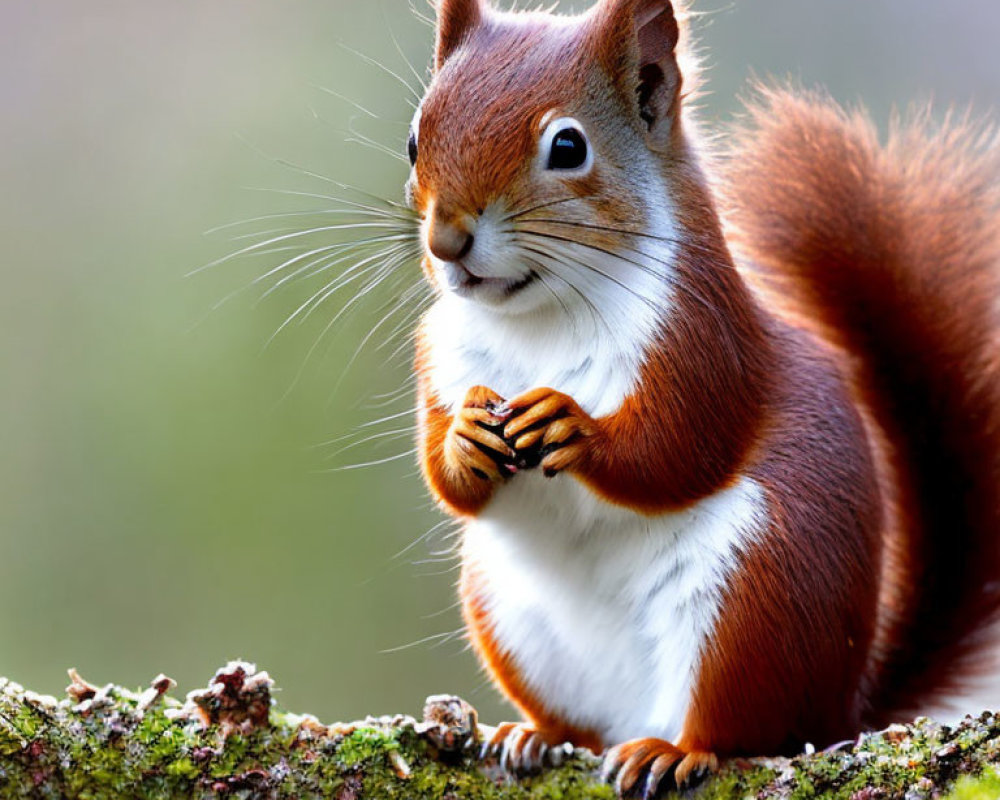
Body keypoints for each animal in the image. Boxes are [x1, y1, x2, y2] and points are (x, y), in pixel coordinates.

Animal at [402, 0, 996, 792]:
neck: (542, 318)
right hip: (508, 609)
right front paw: (466, 436)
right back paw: (535, 735)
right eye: (414, 140)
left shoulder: (708, 344)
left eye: (568, 147)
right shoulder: (439, 355)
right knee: (580, 726)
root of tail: (840, 710)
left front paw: (575, 426)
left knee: (739, 728)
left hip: (753, 599)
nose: (448, 242)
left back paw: (675, 750)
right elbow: (449, 484)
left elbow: (678, 452)